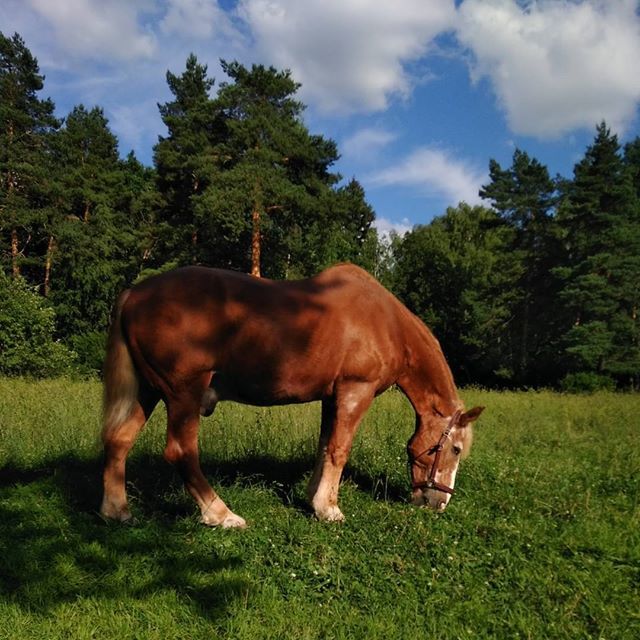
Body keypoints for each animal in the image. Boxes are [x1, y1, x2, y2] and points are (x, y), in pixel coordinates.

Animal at [100, 262, 482, 528]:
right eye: (455, 448)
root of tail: (135, 293)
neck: (386, 323)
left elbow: (324, 447)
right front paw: (330, 509)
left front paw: (315, 499)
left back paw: (117, 511)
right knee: (181, 451)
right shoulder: (356, 391)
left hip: (147, 391)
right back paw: (221, 514)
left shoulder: (332, 397)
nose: (439, 503)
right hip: (184, 394)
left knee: (119, 440)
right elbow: (339, 449)